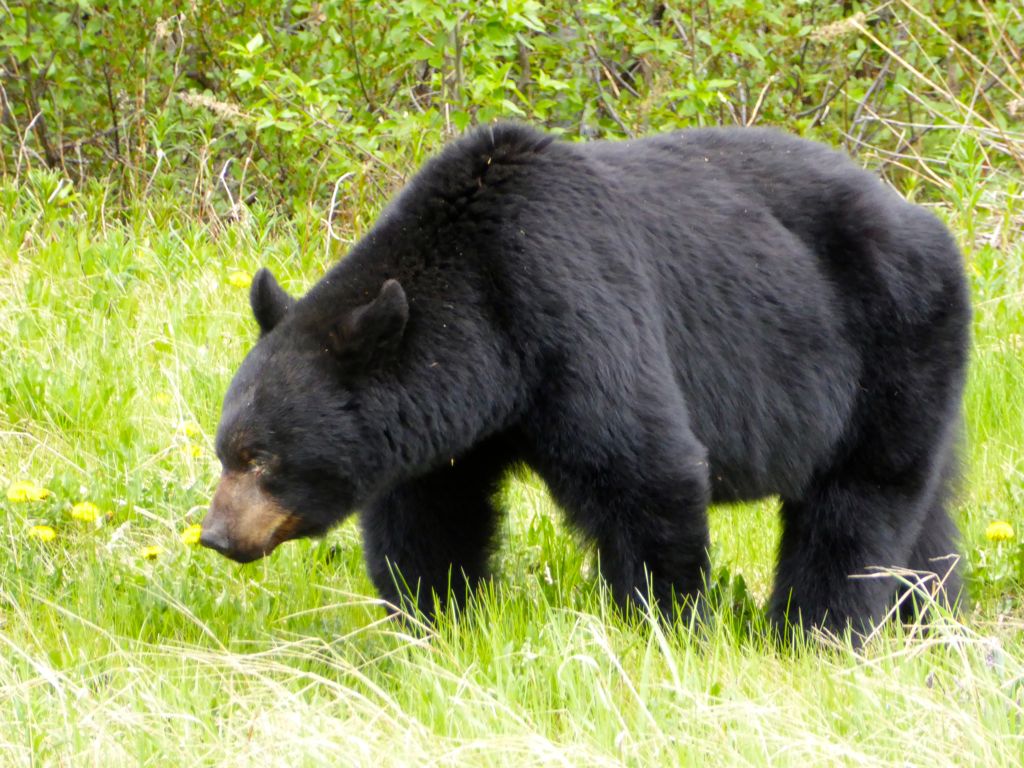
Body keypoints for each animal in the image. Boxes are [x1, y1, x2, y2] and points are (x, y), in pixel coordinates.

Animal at [200, 123, 970, 638]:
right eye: (225, 449)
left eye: (260, 457)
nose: (215, 535)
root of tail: (926, 222)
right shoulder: (449, 421)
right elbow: (431, 513)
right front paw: (437, 619)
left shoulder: (573, 312)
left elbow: (644, 471)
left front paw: (665, 623)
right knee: (924, 510)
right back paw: (933, 619)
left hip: (890, 343)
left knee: (859, 500)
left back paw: (813, 628)